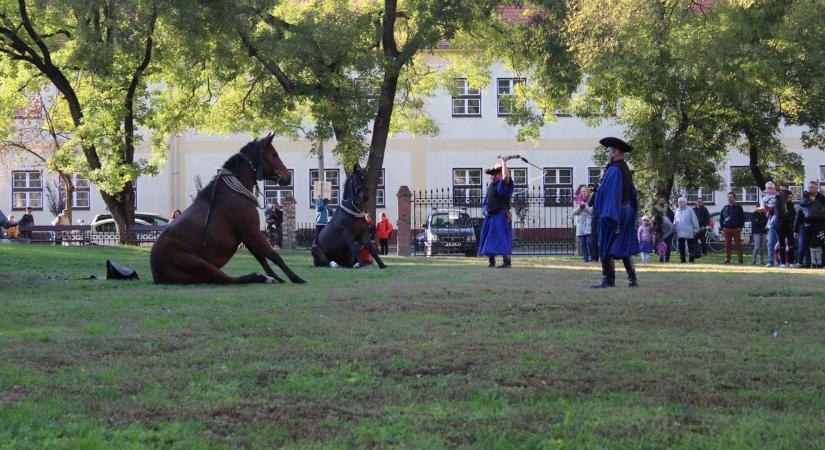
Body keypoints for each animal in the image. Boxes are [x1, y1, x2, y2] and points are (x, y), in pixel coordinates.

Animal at [150, 134, 304, 284]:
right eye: (274, 155)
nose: (288, 176)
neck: (232, 193)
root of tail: (156, 273)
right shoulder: (253, 233)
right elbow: (274, 256)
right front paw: (295, 278)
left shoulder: (247, 236)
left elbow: (262, 259)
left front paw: (278, 277)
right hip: (201, 264)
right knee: (230, 280)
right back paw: (260, 278)